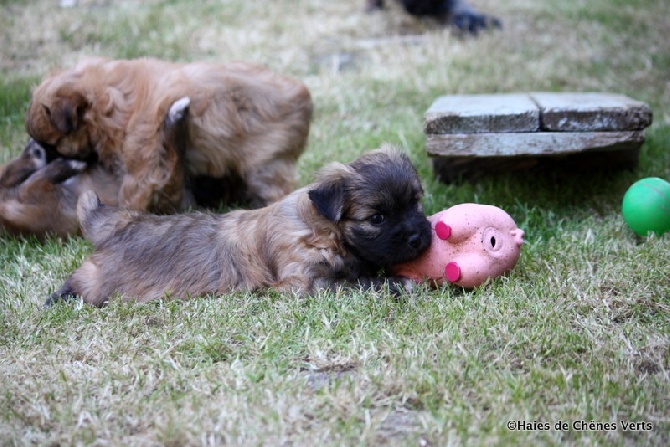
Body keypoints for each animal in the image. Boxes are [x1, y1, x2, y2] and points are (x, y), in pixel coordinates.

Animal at [23, 57, 312, 212]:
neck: (109, 103)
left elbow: (131, 192)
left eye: (52, 145)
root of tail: (302, 97)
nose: (40, 156)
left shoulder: (144, 160)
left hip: (264, 163)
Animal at [48, 145, 436, 306]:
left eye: (416, 203)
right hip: (101, 278)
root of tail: (115, 223)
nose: (420, 237)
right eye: (377, 218)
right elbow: (356, 284)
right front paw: (397, 283)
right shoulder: (304, 282)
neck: (322, 227)